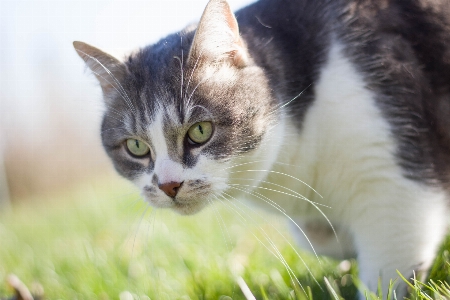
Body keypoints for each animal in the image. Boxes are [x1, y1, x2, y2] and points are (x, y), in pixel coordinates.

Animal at [74, 0, 450, 298]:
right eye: (136, 146)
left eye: (200, 131)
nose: (168, 185)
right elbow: (318, 236)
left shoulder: (390, 183)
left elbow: (387, 270)